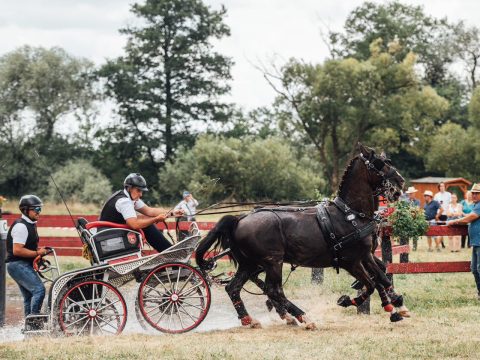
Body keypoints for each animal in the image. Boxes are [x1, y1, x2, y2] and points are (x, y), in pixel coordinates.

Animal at [197, 144, 406, 330]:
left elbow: (381, 275)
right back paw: (303, 317)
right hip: (272, 261)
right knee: (274, 290)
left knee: (234, 288)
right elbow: (371, 284)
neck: (350, 214)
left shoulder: (365, 255)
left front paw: (395, 305)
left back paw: (250, 319)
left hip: (250, 264)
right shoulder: (351, 261)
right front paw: (349, 300)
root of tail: (240, 219)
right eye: (380, 164)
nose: (401, 182)